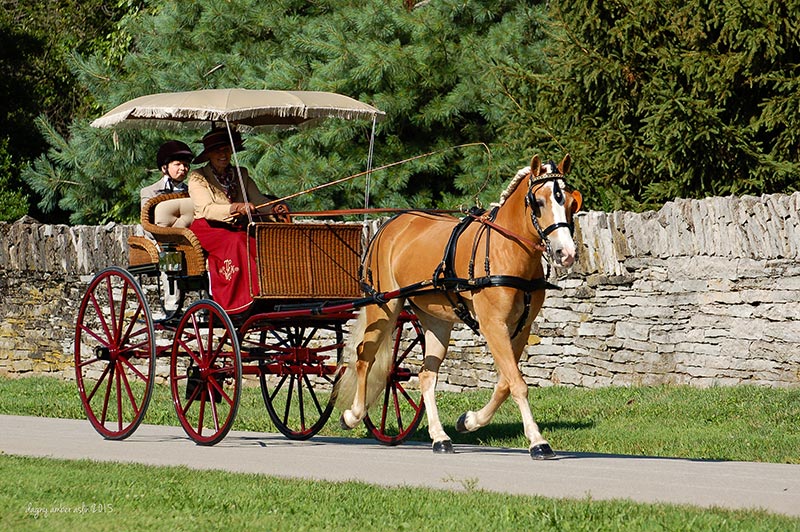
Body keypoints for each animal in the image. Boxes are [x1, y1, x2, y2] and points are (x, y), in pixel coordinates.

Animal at [332, 153, 580, 458]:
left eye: (570, 203)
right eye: (539, 202)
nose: (566, 253)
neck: (506, 249)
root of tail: (390, 225)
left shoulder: (521, 328)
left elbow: (506, 382)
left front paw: (469, 421)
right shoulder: (492, 324)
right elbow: (517, 383)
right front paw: (537, 441)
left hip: (435, 320)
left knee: (426, 375)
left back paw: (440, 437)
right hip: (384, 305)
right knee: (364, 356)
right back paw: (352, 415)